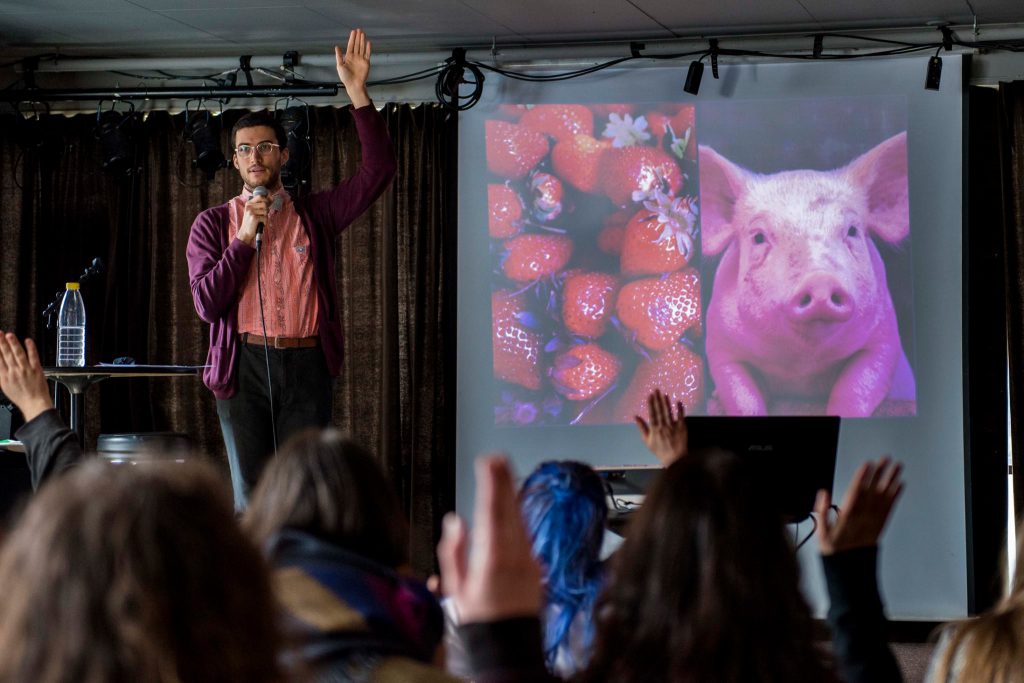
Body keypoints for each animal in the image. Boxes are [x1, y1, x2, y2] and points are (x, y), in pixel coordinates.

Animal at [700, 130, 917, 413]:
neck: (802, 369)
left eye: (852, 231)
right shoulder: (720, 343)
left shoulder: (885, 337)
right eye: (758, 237)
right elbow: (740, 394)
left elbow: (856, 386)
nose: (820, 281)